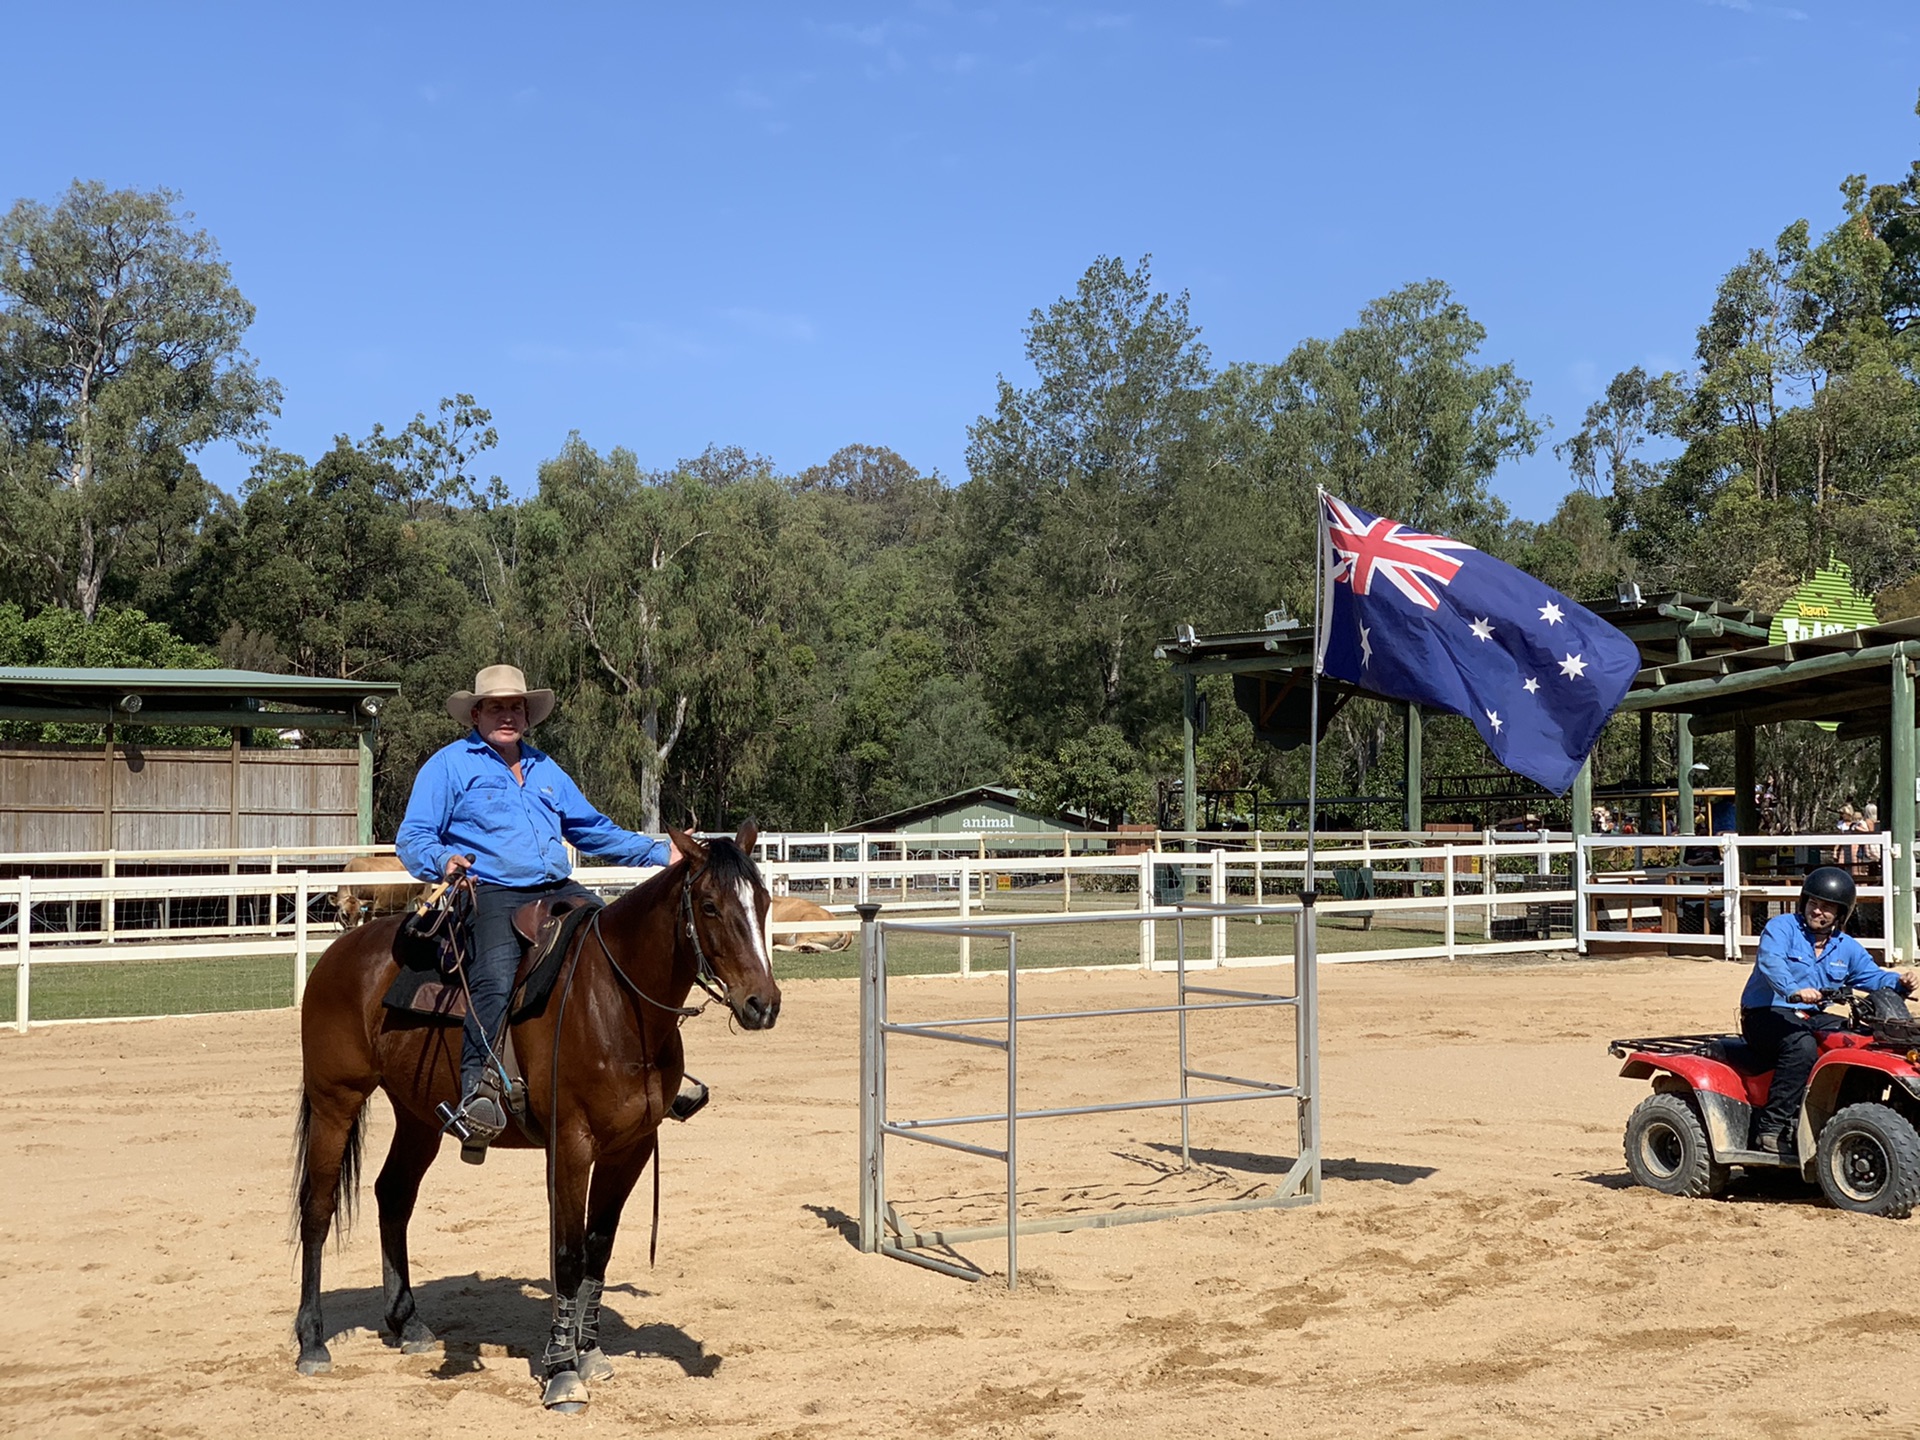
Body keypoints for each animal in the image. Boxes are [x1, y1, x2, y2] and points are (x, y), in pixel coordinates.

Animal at [288, 829, 775, 1413]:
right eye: (708, 905)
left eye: (763, 901)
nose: (763, 1004)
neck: (614, 1000)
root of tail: (339, 952)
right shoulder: (571, 1145)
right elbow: (566, 1253)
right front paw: (563, 1372)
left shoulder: (630, 1148)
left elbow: (598, 1249)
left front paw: (589, 1351)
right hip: (335, 1100)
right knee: (317, 1209)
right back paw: (312, 1342)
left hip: (417, 1117)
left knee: (394, 1196)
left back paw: (408, 1325)